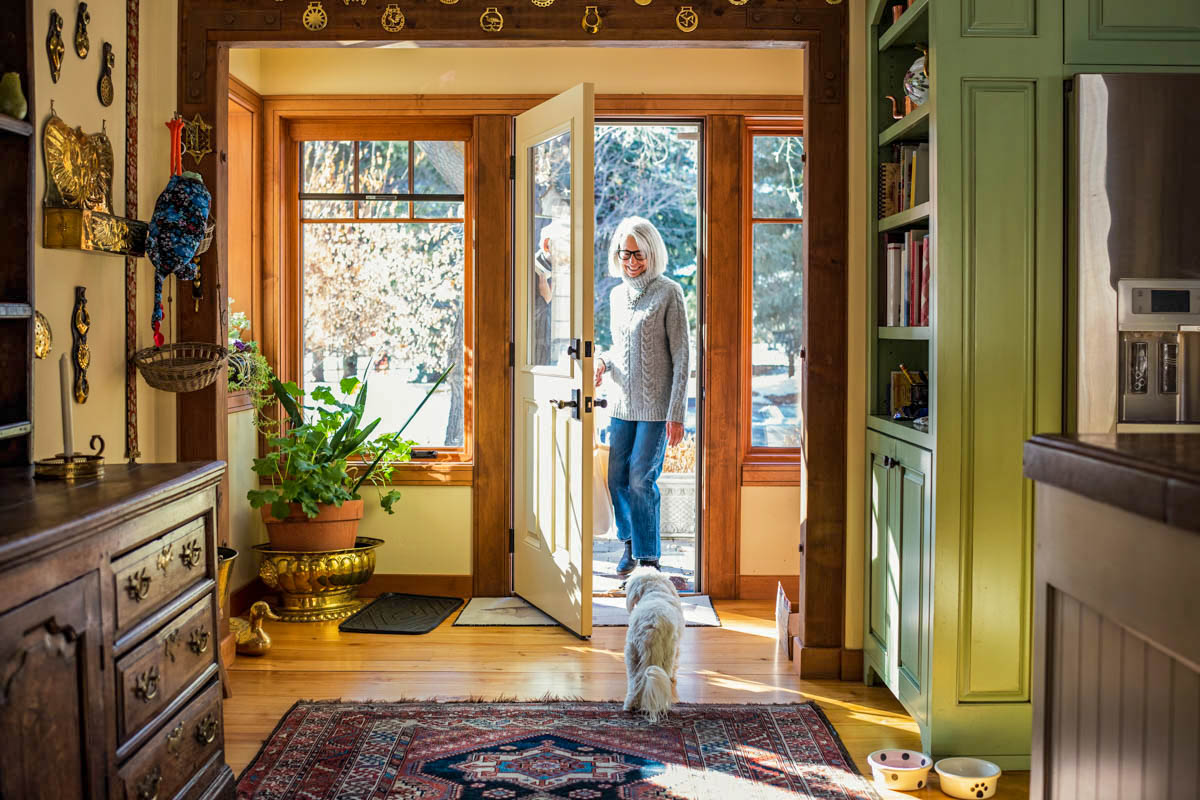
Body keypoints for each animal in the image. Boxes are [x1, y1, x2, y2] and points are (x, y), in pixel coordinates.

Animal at [624, 566, 681, 724]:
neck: (654, 591)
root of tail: (651, 625)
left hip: (632, 654)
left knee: (634, 682)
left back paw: (630, 705)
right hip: (667, 652)